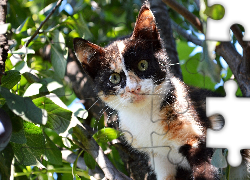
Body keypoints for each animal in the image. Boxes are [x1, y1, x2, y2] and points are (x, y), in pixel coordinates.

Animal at [73, 2, 223, 180]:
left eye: (142, 65)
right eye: (114, 78)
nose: (133, 88)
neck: (145, 115)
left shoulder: (194, 129)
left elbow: (204, 168)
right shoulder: (158, 157)